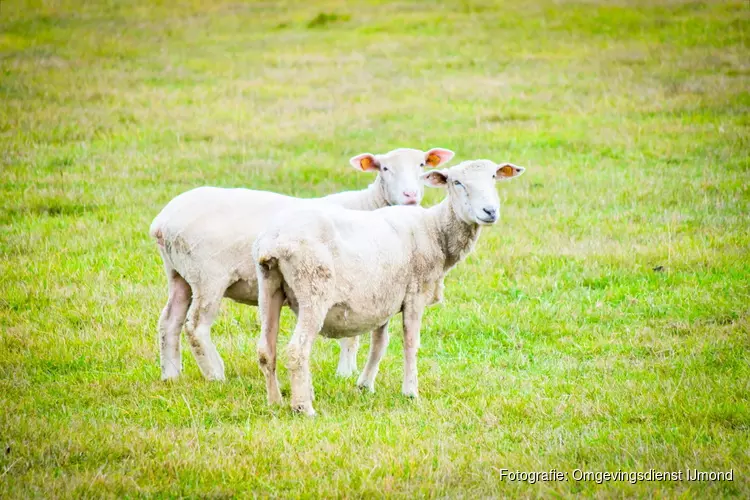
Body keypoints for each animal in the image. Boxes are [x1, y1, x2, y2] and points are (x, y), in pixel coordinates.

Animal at [150, 146, 456, 380]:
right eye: (384, 169)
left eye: (421, 165)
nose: (410, 196)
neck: (368, 206)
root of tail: (162, 222)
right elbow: (351, 335)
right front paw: (345, 373)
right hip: (208, 277)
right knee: (196, 326)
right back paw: (216, 374)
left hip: (178, 274)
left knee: (169, 321)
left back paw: (171, 375)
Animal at [256, 159, 524, 414]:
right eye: (456, 182)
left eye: (493, 176)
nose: (490, 211)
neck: (435, 230)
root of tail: (275, 241)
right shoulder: (415, 293)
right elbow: (411, 343)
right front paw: (410, 392)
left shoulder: (383, 297)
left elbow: (379, 344)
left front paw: (365, 385)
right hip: (314, 288)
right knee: (297, 350)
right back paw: (303, 407)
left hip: (269, 287)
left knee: (266, 350)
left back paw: (275, 402)